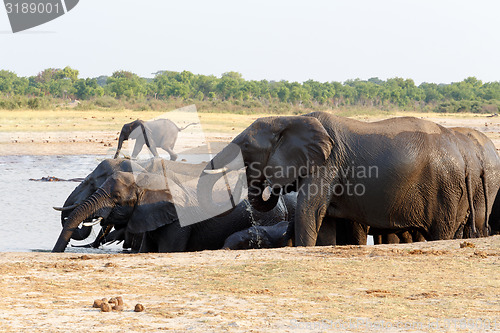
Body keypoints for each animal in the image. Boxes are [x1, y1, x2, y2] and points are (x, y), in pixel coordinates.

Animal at [197, 113, 498, 245]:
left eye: (246, 147)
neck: (290, 118)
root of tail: (464, 155)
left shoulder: (327, 165)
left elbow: (309, 210)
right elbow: (324, 220)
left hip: (447, 187)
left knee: (441, 231)